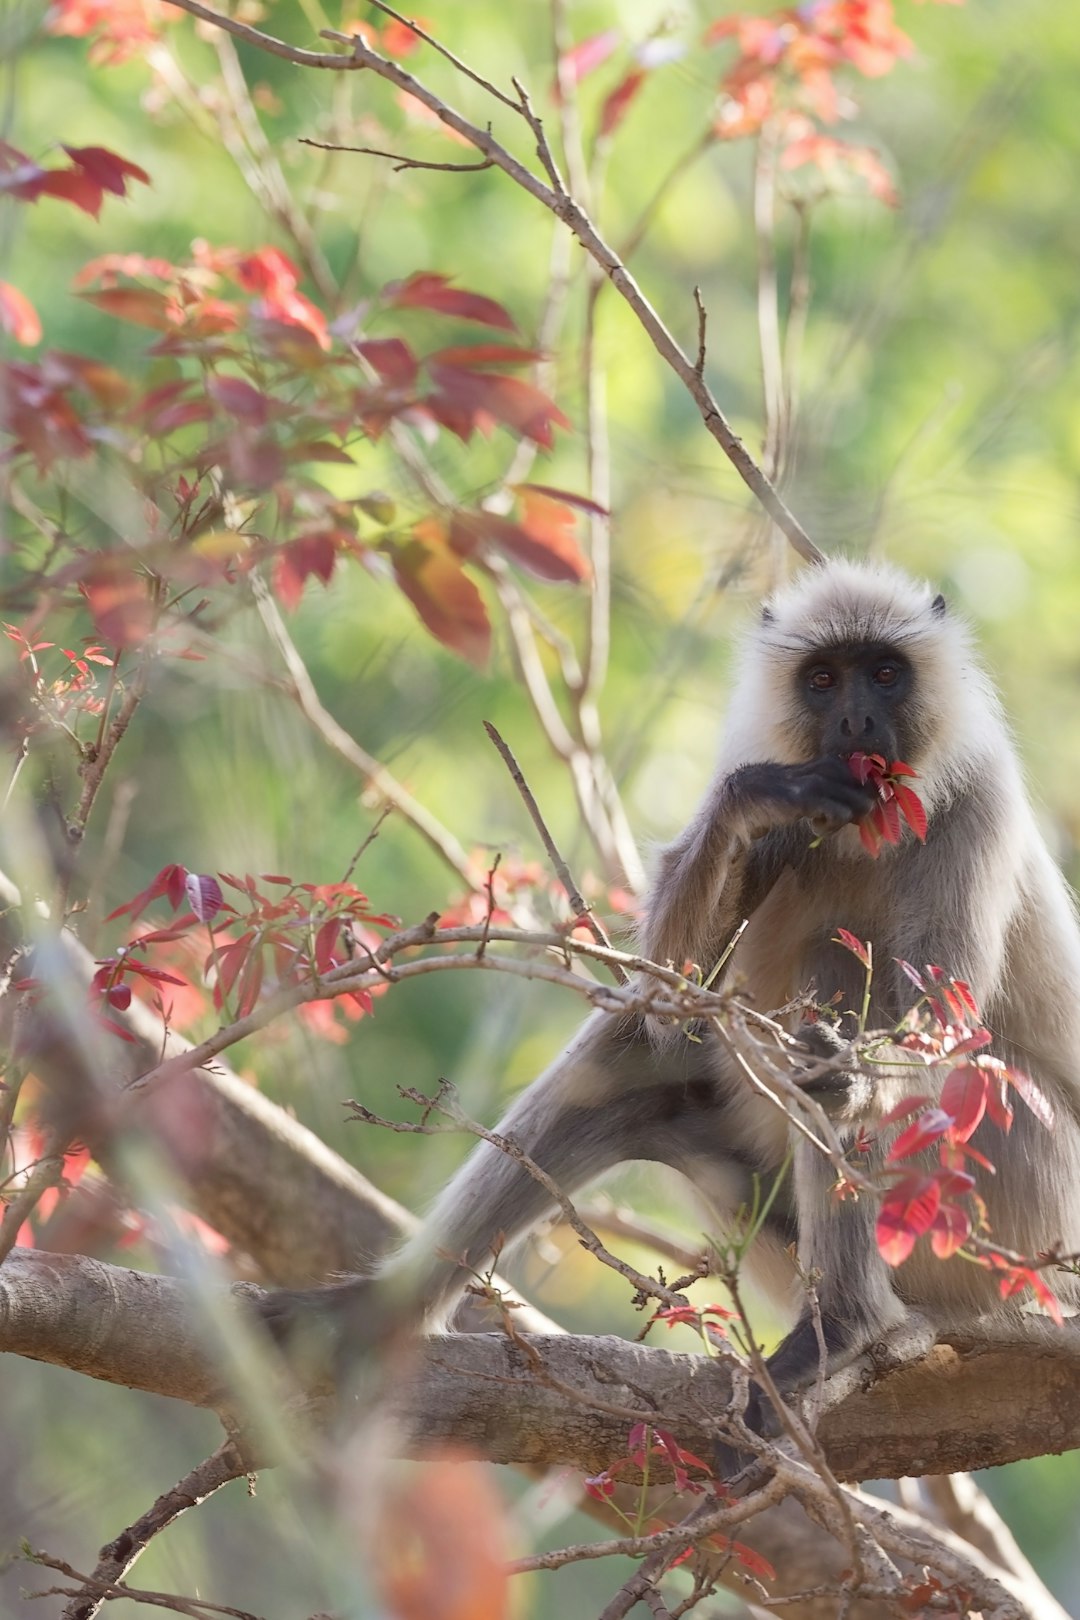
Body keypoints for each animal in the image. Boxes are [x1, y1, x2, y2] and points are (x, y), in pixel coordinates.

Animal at [262, 567, 1080, 1419]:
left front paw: (851, 1075)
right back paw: (367, 1316)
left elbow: (942, 1021)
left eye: (885, 673)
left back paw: (849, 1326)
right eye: (824, 679)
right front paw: (754, 799)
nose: (857, 717)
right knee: (631, 1044)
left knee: (837, 977)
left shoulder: (978, 800)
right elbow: (668, 993)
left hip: (1008, 1186)